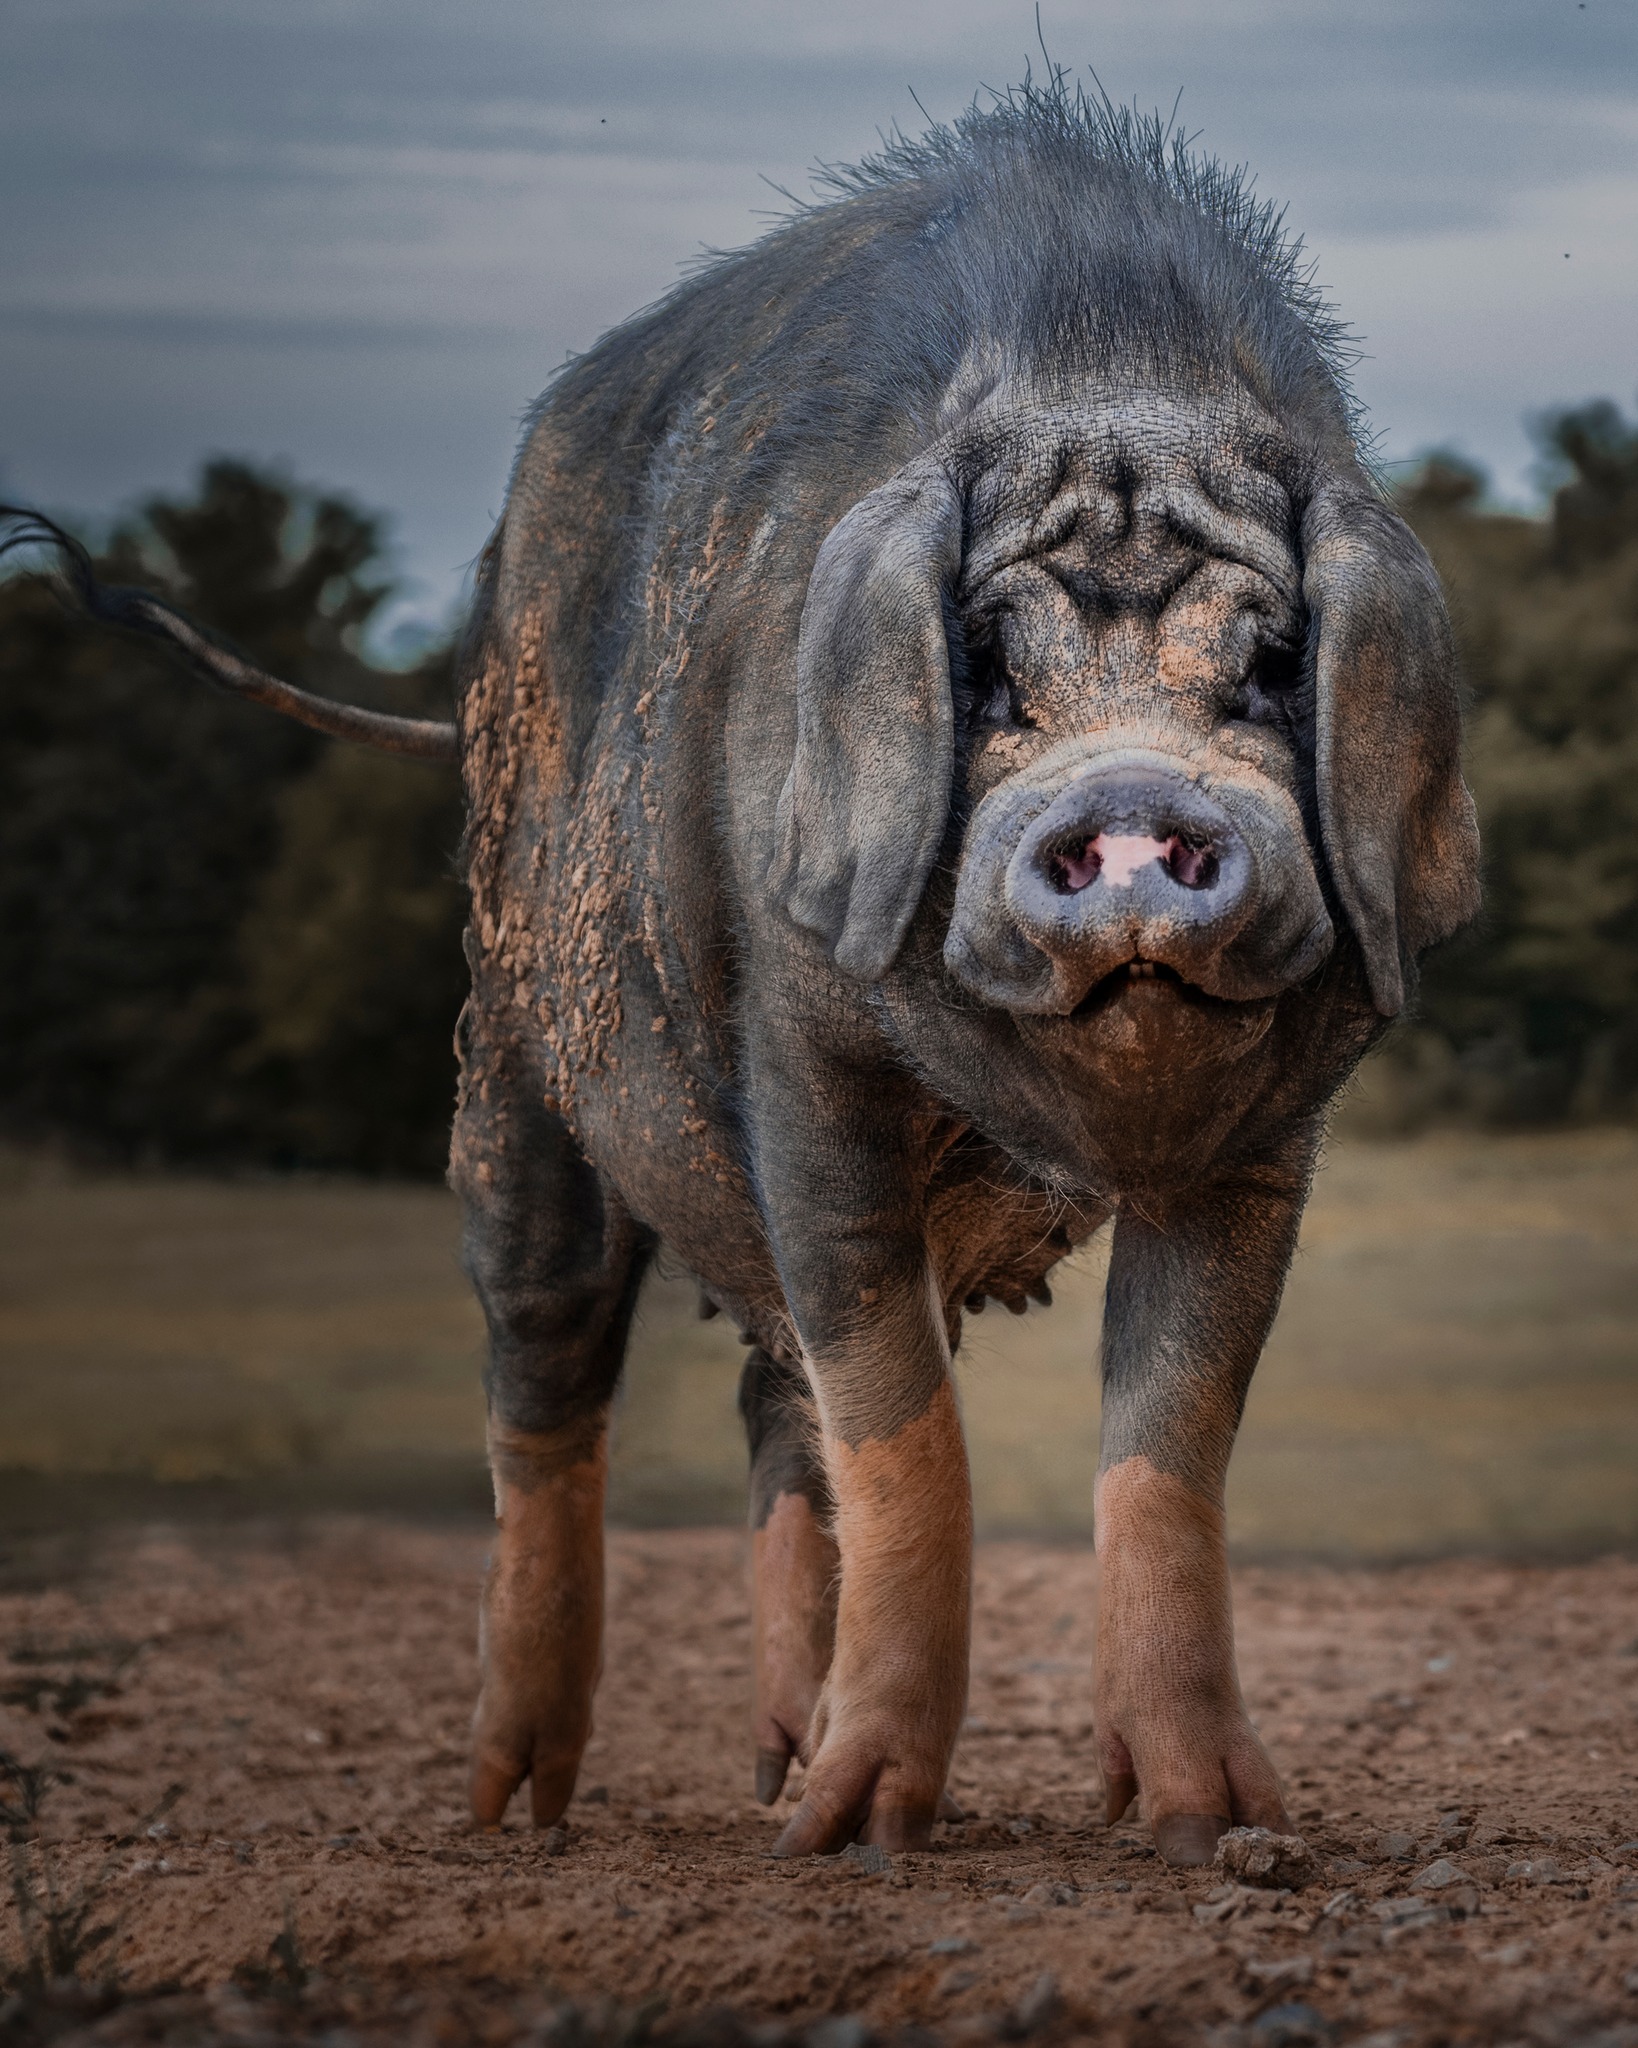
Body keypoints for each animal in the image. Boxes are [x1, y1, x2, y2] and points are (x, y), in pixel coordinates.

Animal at [5, 80, 1480, 1866]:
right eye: (984, 668)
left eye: (1267, 664)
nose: (1132, 812)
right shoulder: (802, 1061)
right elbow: (909, 1432)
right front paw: (863, 1843)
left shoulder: (1272, 1138)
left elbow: (1165, 1441)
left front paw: (1204, 1832)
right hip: (509, 1044)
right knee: (547, 1373)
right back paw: (526, 1812)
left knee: (779, 1409)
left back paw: (780, 1767)